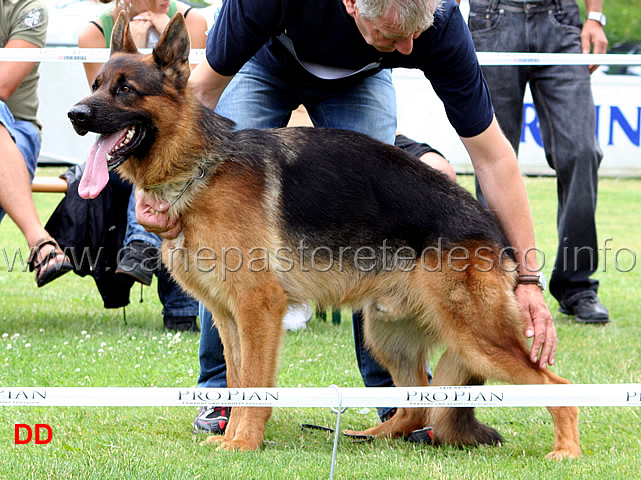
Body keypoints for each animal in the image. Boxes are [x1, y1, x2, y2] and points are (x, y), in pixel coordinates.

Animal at [69, 13, 580, 460]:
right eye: (96, 84)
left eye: (126, 90)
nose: (75, 114)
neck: (199, 167)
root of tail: (491, 227)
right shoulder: (227, 316)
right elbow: (236, 379)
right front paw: (231, 437)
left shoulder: (258, 309)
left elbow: (255, 383)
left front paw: (244, 443)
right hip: (385, 334)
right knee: (418, 403)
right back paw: (371, 436)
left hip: (474, 336)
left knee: (558, 387)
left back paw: (566, 451)